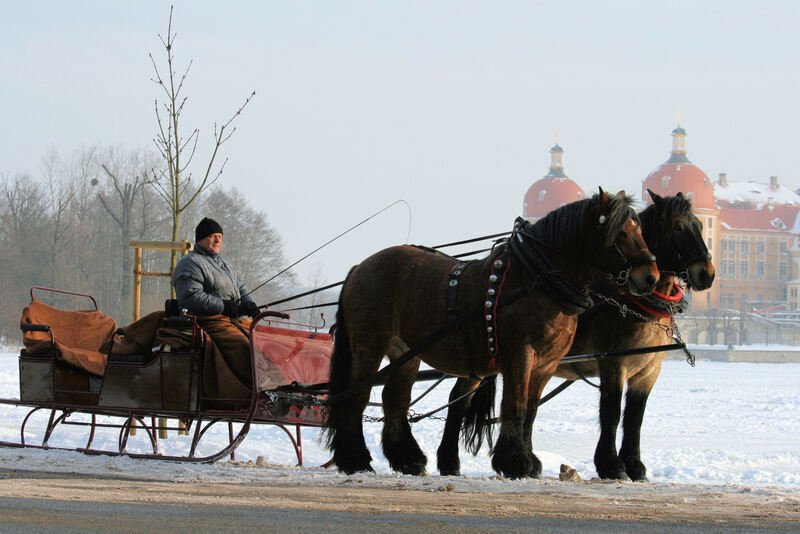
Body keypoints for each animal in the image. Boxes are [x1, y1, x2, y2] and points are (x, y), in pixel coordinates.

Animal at [324, 191, 656, 480]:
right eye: (620, 233)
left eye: (640, 229)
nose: (649, 277)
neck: (537, 280)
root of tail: (360, 267)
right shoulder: (520, 355)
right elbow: (515, 405)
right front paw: (515, 462)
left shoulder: (546, 364)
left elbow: (531, 411)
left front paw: (529, 461)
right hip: (369, 343)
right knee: (357, 395)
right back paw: (355, 459)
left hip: (405, 352)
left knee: (395, 399)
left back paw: (408, 459)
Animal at [434, 192, 716, 482]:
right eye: (677, 228)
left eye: (700, 225)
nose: (707, 273)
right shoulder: (613, 363)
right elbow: (612, 412)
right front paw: (611, 465)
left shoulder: (648, 371)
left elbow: (634, 417)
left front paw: (635, 465)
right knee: (458, 401)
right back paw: (449, 461)